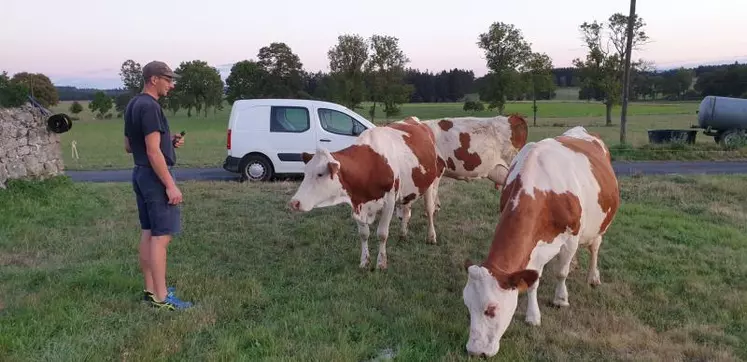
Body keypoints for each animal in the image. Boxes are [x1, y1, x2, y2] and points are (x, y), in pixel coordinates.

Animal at [290, 116, 448, 268]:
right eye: (305, 173)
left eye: (320, 174)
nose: (294, 203)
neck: (370, 166)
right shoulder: (356, 201)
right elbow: (364, 234)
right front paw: (364, 261)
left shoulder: (389, 201)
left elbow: (382, 234)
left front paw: (381, 263)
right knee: (405, 211)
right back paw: (403, 234)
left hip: (430, 183)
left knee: (429, 210)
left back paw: (431, 237)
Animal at [462, 126, 620, 356]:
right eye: (467, 305)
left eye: (491, 309)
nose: (474, 351)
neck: (540, 190)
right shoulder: (533, 247)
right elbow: (532, 281)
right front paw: (533, 316)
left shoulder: (571, 238)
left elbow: (561, 272)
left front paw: (561, 299)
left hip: (598, 225)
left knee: (594, 248)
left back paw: (593, 277)